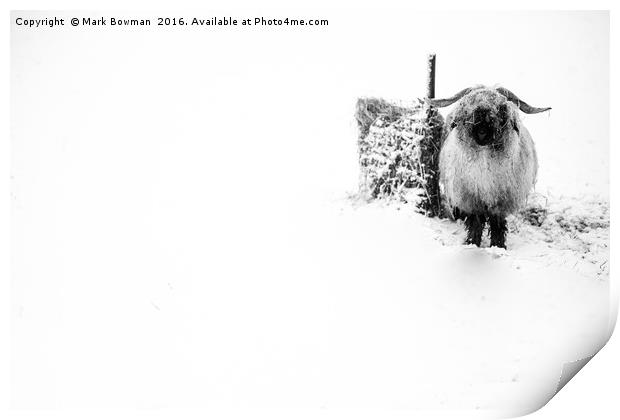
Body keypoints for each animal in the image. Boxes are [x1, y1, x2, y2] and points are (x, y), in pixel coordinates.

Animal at [432, 86, 552, 248]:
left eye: (500, 106)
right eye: (472, 101)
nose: (482, 115)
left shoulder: (500, 201)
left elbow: (497, 225)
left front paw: (498, 246)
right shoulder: (472, 200)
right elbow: (475, 224)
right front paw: (472, 243)